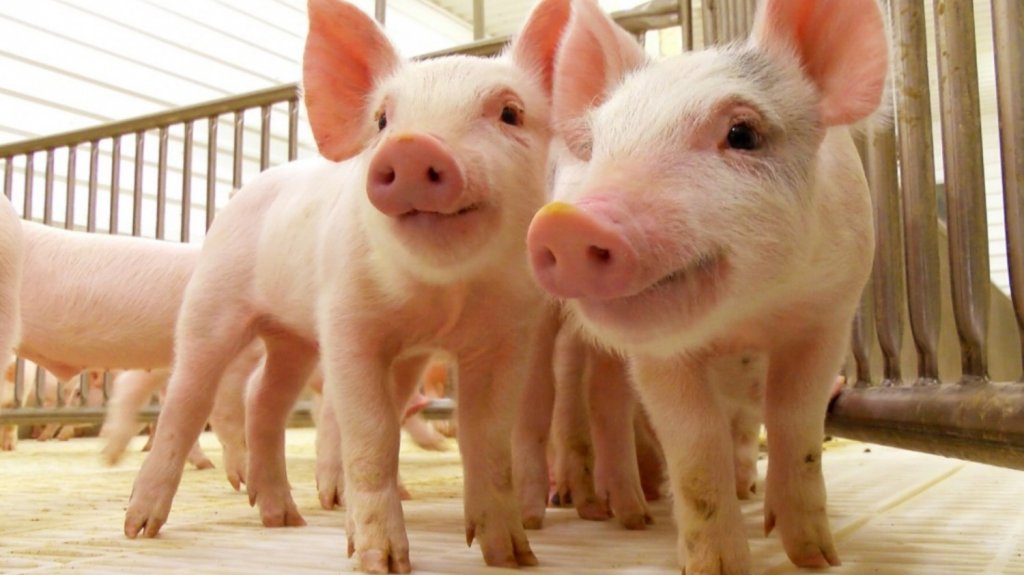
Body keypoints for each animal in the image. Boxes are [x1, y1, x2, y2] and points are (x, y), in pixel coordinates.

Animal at [123, 1, 571, 573]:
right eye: (382, 119)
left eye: (510, 112)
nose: (410, 147)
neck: (441, 297)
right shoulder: (348, 319)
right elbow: (372, 434)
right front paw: (379, 561)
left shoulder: (505, 335)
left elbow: (488, 439)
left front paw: (515, 556)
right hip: (212, 299)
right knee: (188, 397)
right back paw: (139, 528)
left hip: (292, 338)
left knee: (262, 396)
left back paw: (283, 518)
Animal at [527, 0, 888, 572]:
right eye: (600, 147)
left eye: (742, 133)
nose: (567, 223)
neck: (743, 320)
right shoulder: (657, 355)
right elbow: (696, 443)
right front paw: (719, 564)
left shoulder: (829, 314)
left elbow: (795, 422)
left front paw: (816, 555)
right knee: (580, 397)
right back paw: (597, 507)